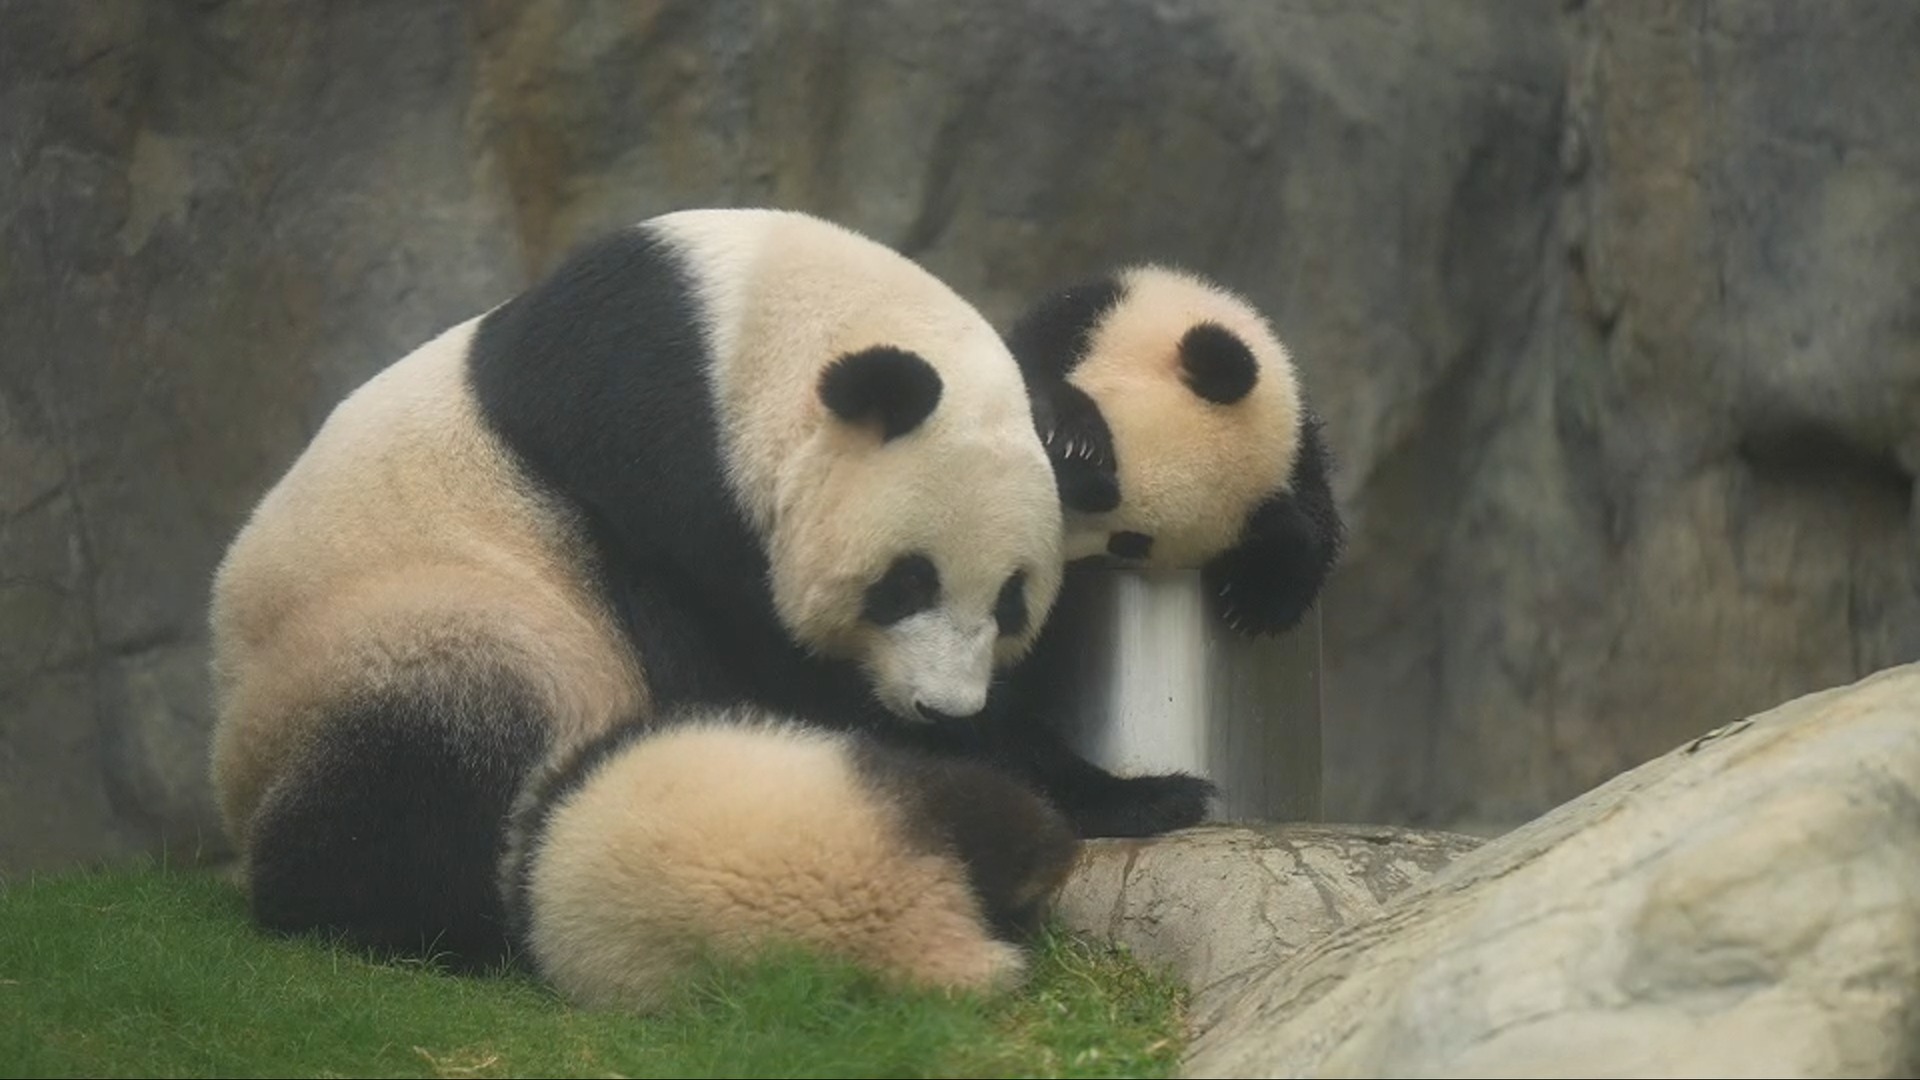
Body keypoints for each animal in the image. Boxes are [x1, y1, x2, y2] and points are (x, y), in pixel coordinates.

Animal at [206, 207, 1074, 975]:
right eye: (904, 584)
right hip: (402, 626)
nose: (943, 709)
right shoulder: (644, 435)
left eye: (1012, 603)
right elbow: (731, 647)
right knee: (437, 755)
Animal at [936, 263, 1347, 839]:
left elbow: (1308, 524)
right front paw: (1068, 428)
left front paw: (1256, 594)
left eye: (1130, 543)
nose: (1045, 559)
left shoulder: (1300, 455)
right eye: (1092, 482)